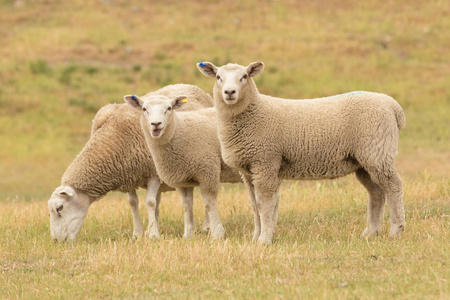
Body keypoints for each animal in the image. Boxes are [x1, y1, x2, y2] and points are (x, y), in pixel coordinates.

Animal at [48, 84, 214, 241]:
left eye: (59, 208)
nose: (56, 240)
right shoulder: (128, 175)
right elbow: (133, 203)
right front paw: (138, 234)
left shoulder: (153, 173)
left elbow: (150, 202)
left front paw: (153, 235)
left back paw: (207, 226)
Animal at [123, 94, 243, 239]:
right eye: (144, 109)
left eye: (169, 108)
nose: (156, 124)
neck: (180, 130)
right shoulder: (182, 178)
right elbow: (187, 205)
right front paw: (188, 234)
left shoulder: (208, 171)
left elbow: (209, 203)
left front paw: (217, 233)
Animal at [199, 62, 406, 245]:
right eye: (218, 77)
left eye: (244, 76)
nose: (229, 92)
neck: (254, 112)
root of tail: (393, 106)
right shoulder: (249, 170)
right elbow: (254, 205)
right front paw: (255, 237)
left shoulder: (265, 162)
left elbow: (264, 204)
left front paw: (264, 239)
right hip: (363, 161)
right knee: (376, 192)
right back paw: (371, 232)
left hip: (378, 152)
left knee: (393, 186)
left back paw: (396, 230)